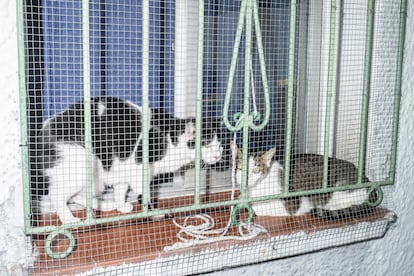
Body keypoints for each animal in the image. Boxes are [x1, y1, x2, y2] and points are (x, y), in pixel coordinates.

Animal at [34, 97, 225, 224]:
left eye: (220, 146)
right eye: (208, 144)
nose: (218, 156)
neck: (170, 138)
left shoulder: (123, 172)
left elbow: (120, 191)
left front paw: (121, 206)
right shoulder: (139, 171)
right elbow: (145, 195)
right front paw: (152, 213)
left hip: (96, 179)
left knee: (76, 197)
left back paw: (104, 206)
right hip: (79, 166)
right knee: (56, 195)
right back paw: (68, 219)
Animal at [234, 144, 376, 220]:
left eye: (256, 170)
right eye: (240, 168)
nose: (245, 180)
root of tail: (366, 179)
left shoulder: (290, 206)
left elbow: (257, 208)